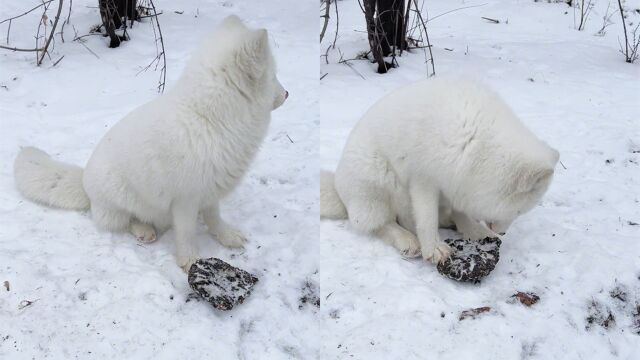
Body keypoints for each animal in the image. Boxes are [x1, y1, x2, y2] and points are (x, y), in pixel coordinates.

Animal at [13, 15, 288, 272]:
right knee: (125, 221)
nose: (287, 94)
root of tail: (84, 183)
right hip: (123, 201)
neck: (209, 119)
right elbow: (186, 233)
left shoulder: (210, 190)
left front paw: (226, 235)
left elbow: (214, 219)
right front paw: (190, 261)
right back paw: (144, 229)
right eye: (274, 75)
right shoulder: (186, 200)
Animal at [322, 77, 556, 264]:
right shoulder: (423, 179)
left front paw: (474, 230)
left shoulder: (457, 181)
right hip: (379, 186)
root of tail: (339, 191)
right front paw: (434, 248)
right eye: (518, 211)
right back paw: (407, 240)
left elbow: (460, 212)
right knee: (383, 224)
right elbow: (426, 219)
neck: (476, 141)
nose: (503, 232)